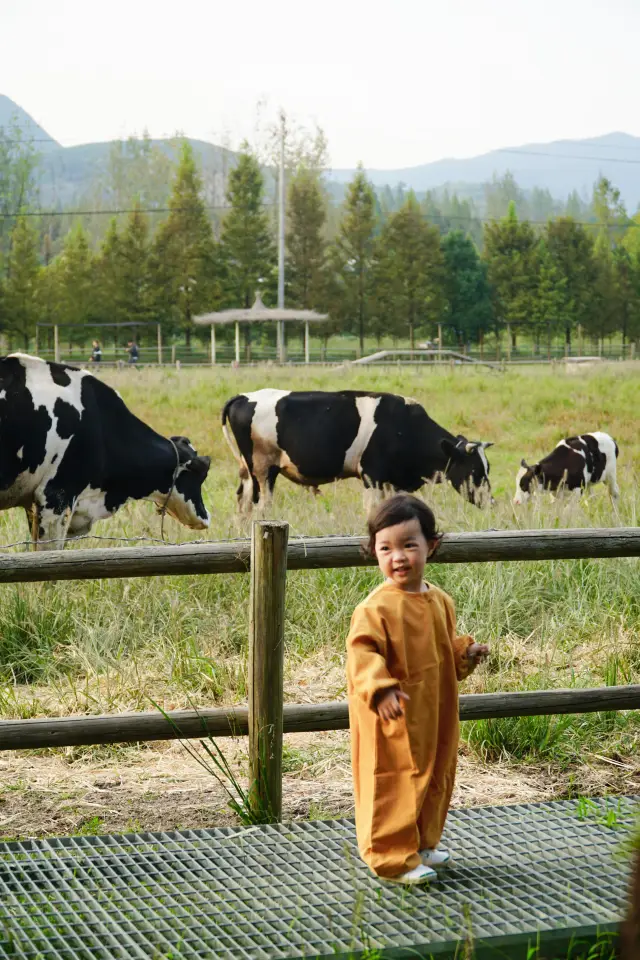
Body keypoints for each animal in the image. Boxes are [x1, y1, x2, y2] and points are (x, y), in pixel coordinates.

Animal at [221, 388, 496, 512]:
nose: (491, 502)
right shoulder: (372, 476)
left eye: (488, 468)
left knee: (242, 502)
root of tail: (244, 396)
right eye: (475, 470)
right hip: (263, 470)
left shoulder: (391, 481)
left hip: (249, 472)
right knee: (259, 505)